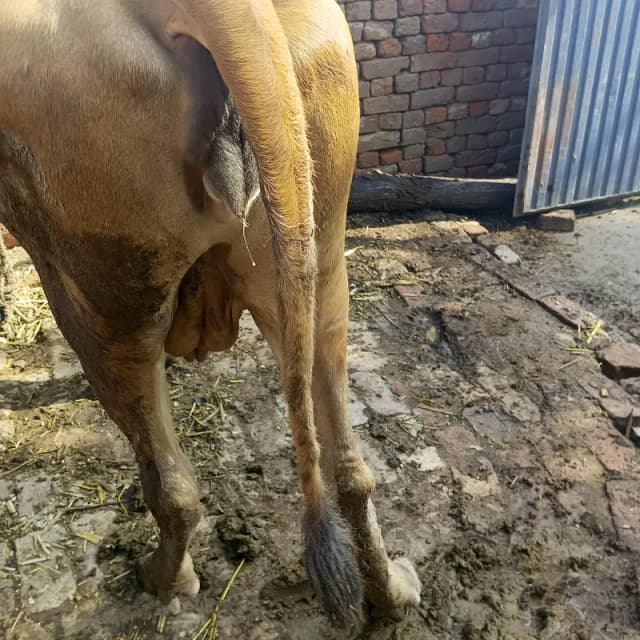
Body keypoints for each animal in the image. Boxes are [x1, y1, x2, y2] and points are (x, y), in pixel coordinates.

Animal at [0, 0, 421, 626]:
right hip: (322, 259)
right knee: (350, 468)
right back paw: (391, 589)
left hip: (103, 296)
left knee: (172, 486)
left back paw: (164, 580)